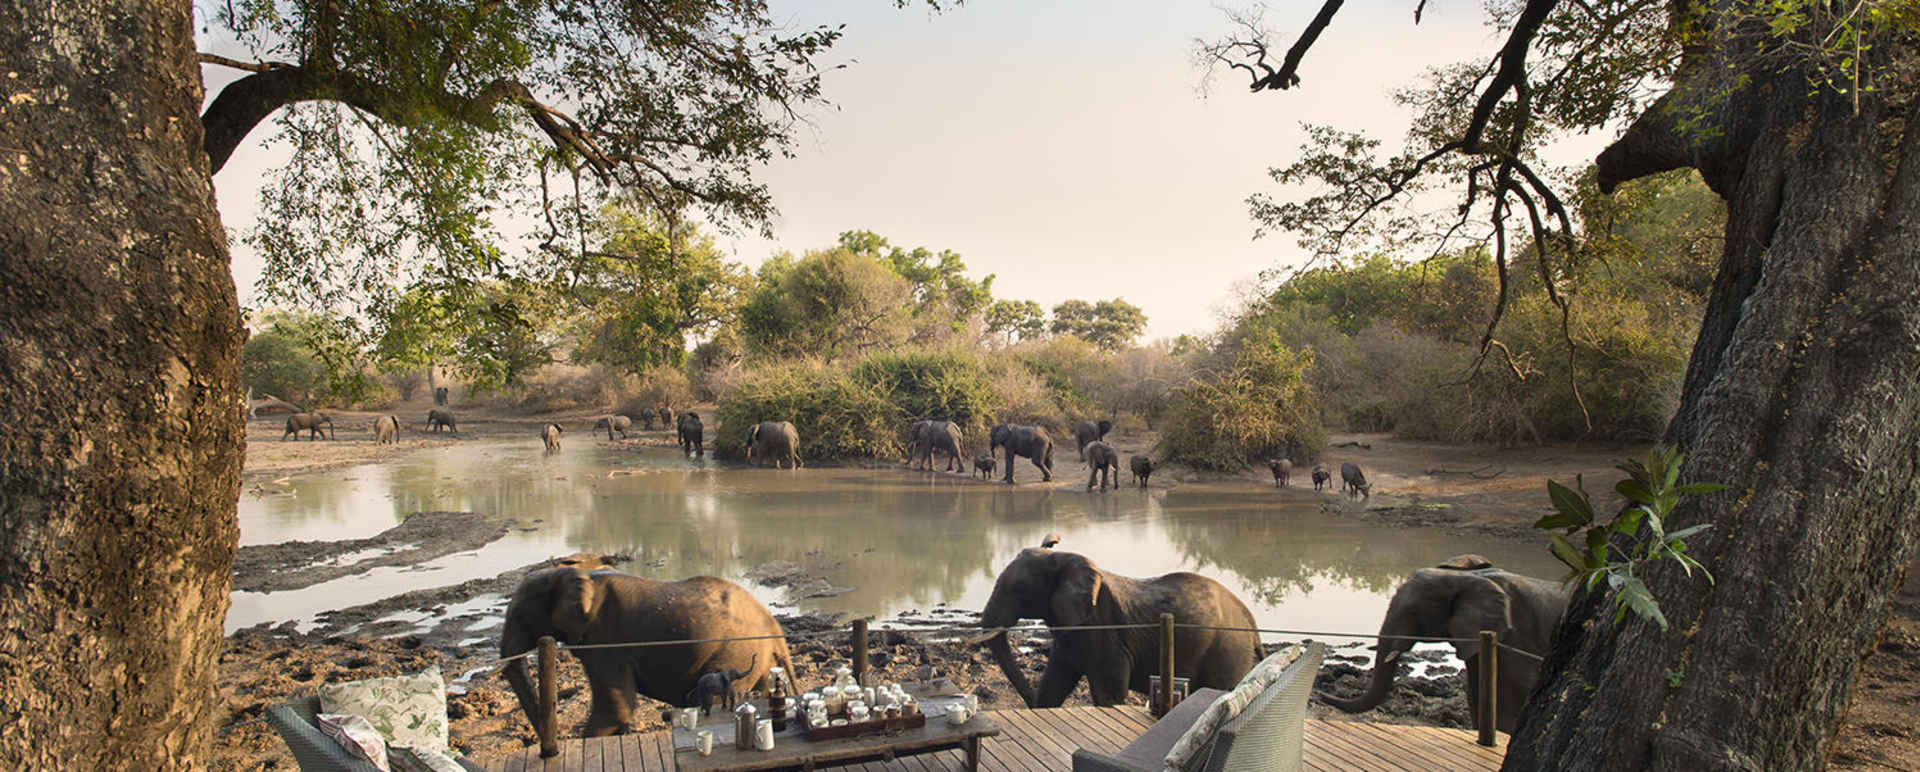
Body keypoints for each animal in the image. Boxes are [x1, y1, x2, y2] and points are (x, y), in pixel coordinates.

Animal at [501, 567, 795, 737]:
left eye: (521, 616)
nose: (557, 739)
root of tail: (773, 625)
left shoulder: (607, 640)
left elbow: (614, 710)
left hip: (737, 649)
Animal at [974, 548, 1263, 708]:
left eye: (1019, 590)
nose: (1028, 700)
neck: (1063, 556)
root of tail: (1249, 619)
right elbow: (1054, 682)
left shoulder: (1105, 628)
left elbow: (1108, 694)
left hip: (1227, 649)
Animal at [1318, 556, 1569, 733]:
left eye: (1413, 612)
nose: (1321, 693)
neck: (1469, 577)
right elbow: (1476, 692)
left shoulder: (1517, 636)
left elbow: (1514, 695)